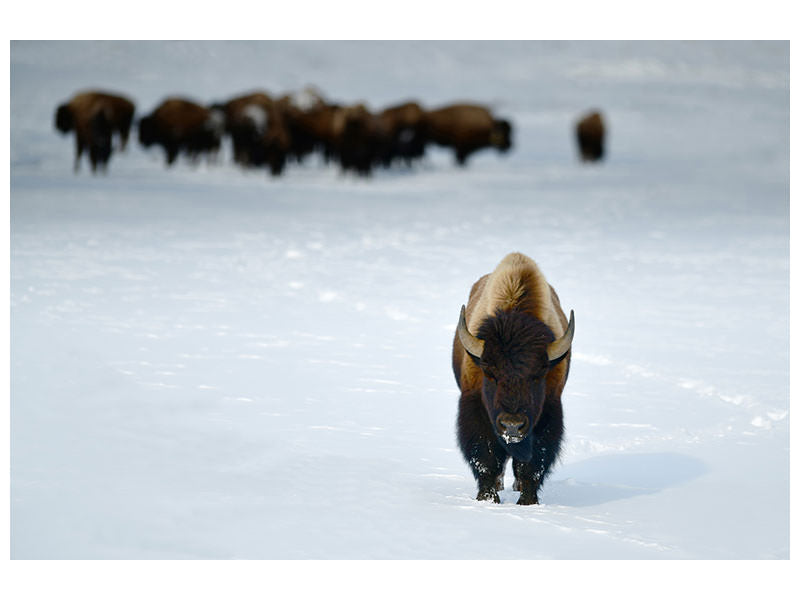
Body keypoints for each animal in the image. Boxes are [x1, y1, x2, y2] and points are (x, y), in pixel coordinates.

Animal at [450, 253, 576, 506]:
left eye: (538, 375)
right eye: (490, 373)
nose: (512, 426)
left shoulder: (548, 410)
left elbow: (532, 464)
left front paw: (527, 501)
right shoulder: (475, 408)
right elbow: (486, 457)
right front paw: (487, 498)